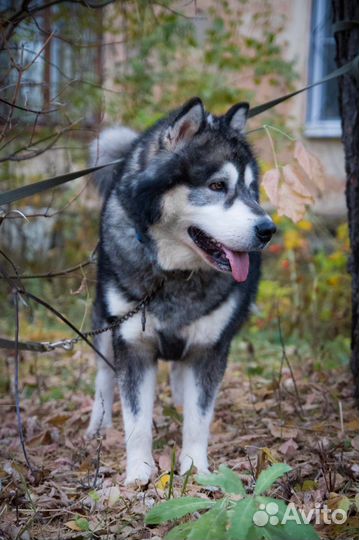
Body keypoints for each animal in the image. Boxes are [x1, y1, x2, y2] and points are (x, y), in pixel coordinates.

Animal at [86, 97, 276, 486]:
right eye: (217, 185)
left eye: (252, 189)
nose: (268, 230)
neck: (174, 274)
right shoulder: (133, 344)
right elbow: (136, 422)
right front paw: (139, 473)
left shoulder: (210, 348)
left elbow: (199, 419)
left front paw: (195, 470)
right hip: (105, 324)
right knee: (104, 375)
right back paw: (98, 423)